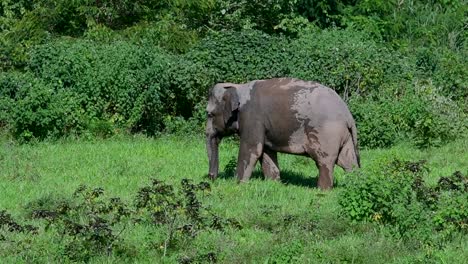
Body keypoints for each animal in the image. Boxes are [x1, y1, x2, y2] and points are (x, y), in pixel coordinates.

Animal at [203, 77, 360, 189]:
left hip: (326, 134)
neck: (238, 87)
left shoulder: (251, 118)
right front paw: (273, 184)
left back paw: (322, 191)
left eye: (209, 114)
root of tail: (347, 114)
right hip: (344, 135)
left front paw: (237, 185)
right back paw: (354, 185)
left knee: (324, 162)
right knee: (348, 162)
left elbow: (252, 149)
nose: (211, 179)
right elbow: (266, 151)